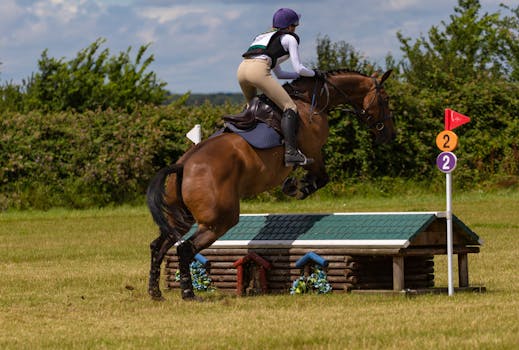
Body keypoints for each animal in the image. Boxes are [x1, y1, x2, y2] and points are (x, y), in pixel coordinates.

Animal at [145, 69, 394, 300]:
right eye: (386, 99)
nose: (389, 135)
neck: (312, 100)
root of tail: (183, 165)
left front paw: (294, 186)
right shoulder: (314, 153)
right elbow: (321, 178)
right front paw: (296, 188)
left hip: (181, 218)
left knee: (159, 246)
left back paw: (155, 292)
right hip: (219, 221)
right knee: (185, 248)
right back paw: (188, 293)